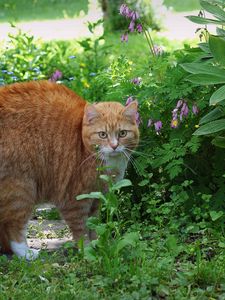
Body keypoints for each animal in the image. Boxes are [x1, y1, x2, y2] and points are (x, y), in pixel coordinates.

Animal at [0, 81, 139, 258]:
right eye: (102, 134)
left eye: (122, 133)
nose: (114, 146)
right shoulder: (74, 199)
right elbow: (81, 229)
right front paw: (87, 250)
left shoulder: (96, 198)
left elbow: (93, 225)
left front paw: (97, 244)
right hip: (22, 189)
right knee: (13, 226)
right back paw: (26, 253)